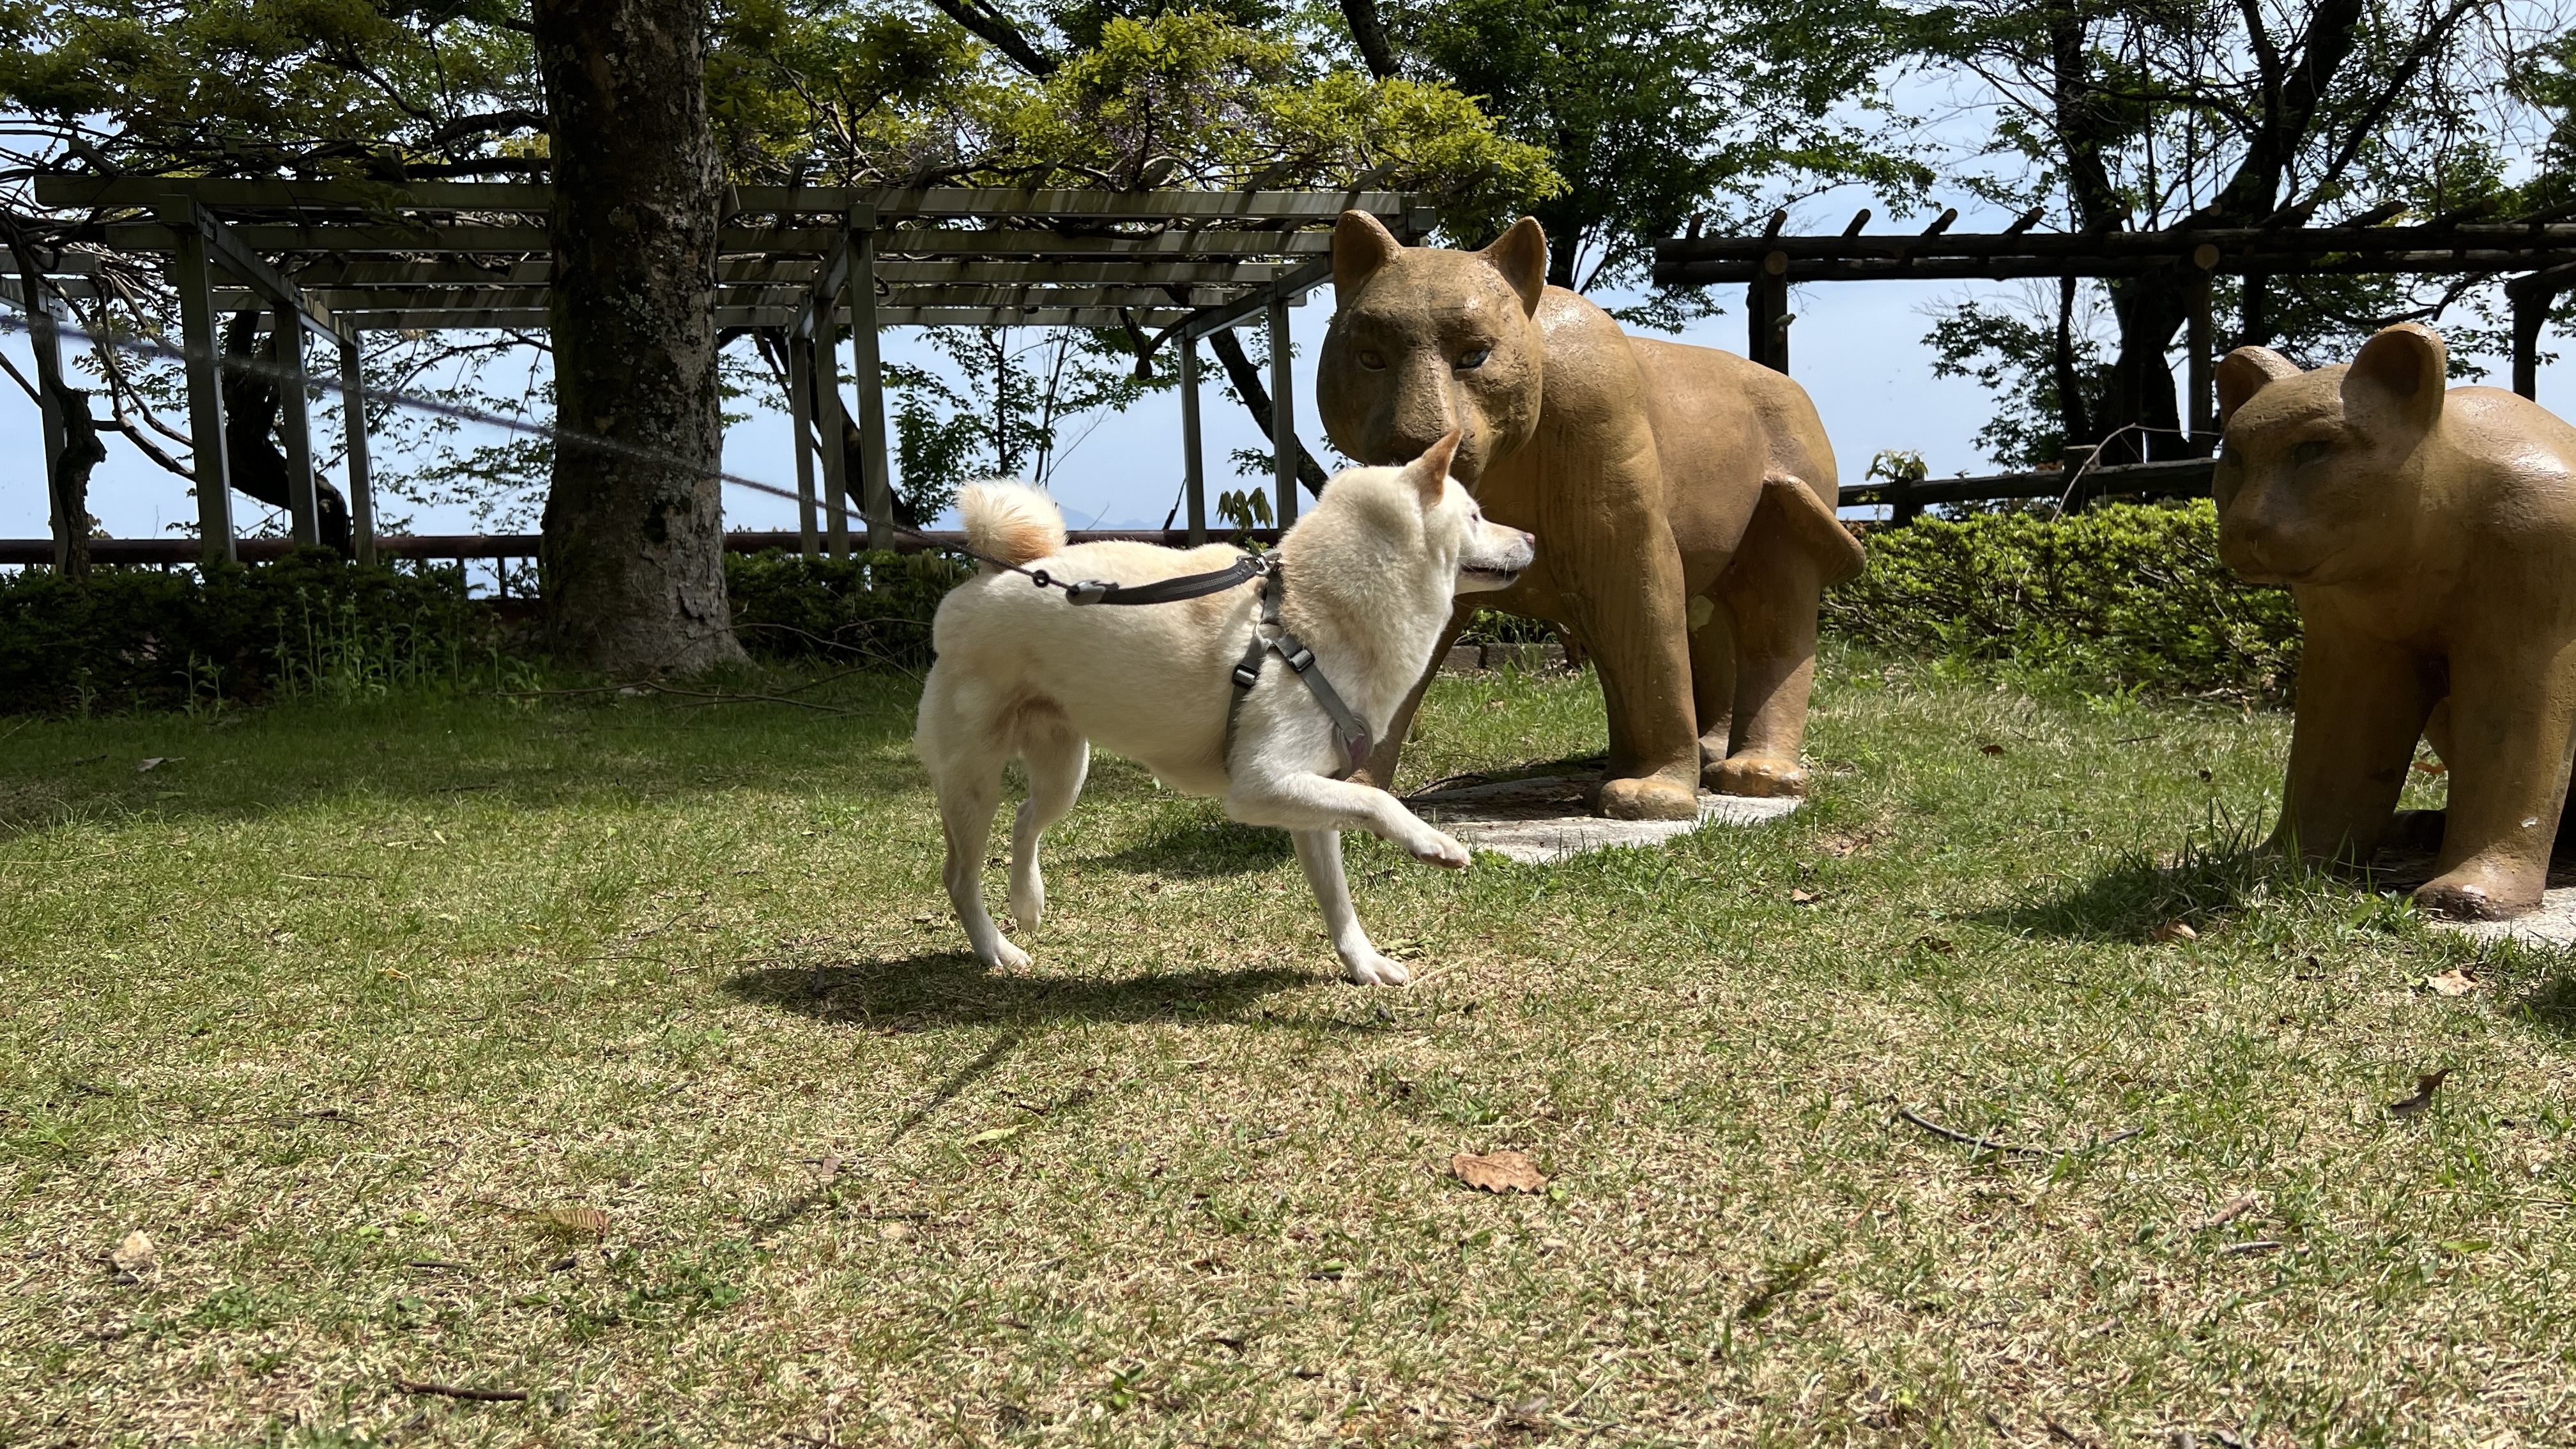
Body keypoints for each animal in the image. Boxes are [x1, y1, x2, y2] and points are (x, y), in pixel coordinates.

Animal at [917, 430, 1524, 979]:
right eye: (1475, 516)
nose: (1531, 536)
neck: (1318, 610)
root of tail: (988, 578)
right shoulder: (1261, 784)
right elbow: (1380, 801)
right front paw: (1434, 844)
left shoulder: (1307, 793)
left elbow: (1338, 898)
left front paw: (1363, 962)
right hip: (974, 780)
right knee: (960, 875)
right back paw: (995, 949)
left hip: (1064, 769)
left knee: (1025, 819)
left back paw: (1027, 903)